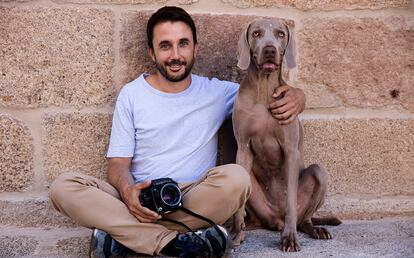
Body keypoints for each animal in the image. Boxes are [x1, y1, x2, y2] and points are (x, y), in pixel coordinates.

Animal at [231, 18, 342, 252]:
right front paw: (236, 234)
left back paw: (314, 230)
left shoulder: (290, 150)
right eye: (256, 33)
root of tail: (277, 219)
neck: (264, 87)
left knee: (304, 218)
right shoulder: (243, 147)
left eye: (280, 34)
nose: (270, 50)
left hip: (318, 175)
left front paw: (289, 238)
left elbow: (291, 199)